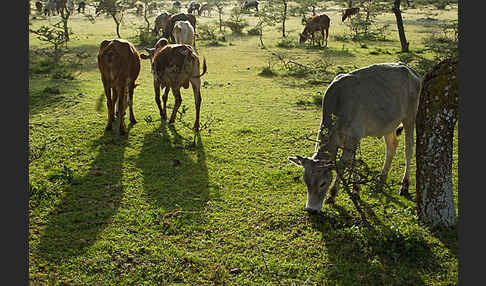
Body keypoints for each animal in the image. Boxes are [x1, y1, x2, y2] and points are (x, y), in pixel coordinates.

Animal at [288, 63, 422, 214]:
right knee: (391, 147)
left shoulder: (353, 137)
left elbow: (343, 164)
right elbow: (354, 161)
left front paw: (332, 195)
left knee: (408, 148)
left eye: (323, 183)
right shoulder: (350, 139)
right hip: (388, 124)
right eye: (305, 181)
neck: (339, 103)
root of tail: (409, 70)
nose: (311, 209)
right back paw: (381, 179)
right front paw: (356, 189)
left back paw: (404, 185)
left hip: (410, 117)